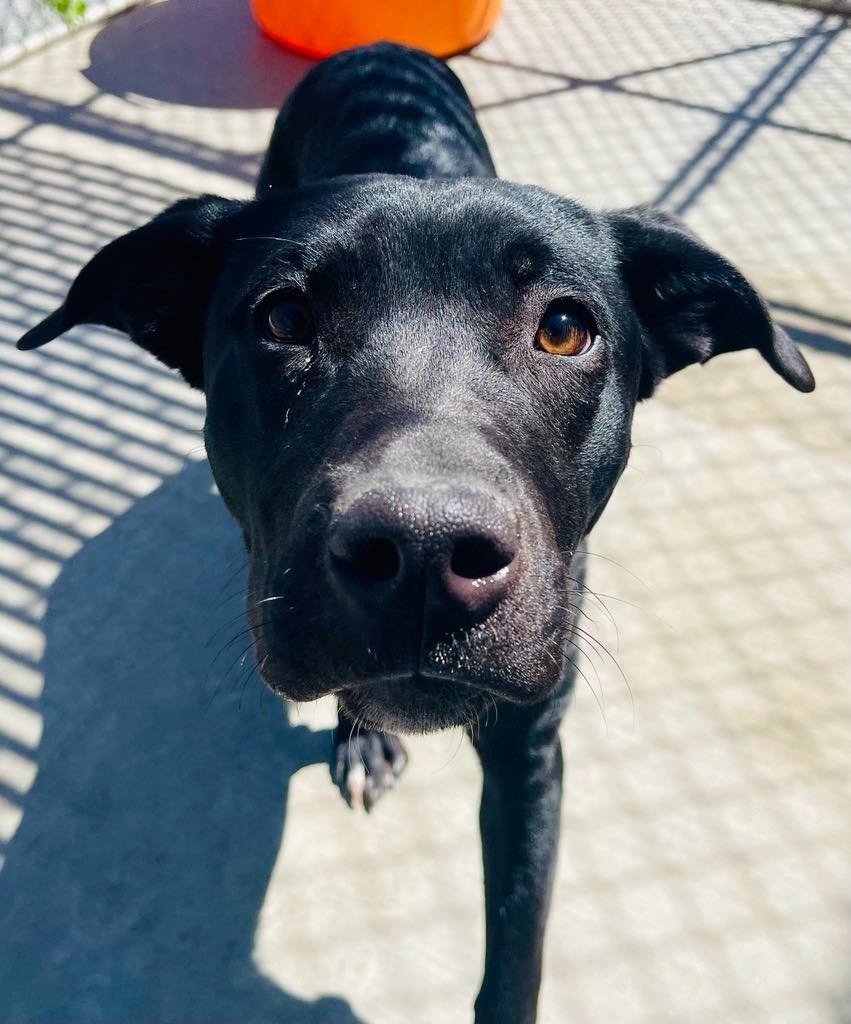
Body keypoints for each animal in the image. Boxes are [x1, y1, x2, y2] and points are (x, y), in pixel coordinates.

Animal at [19, 41, 815, 1024]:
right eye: (283, 318)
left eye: (564, 329)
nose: (425, 556)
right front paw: (358, 735)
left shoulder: (528, 750)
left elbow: (515, 951)